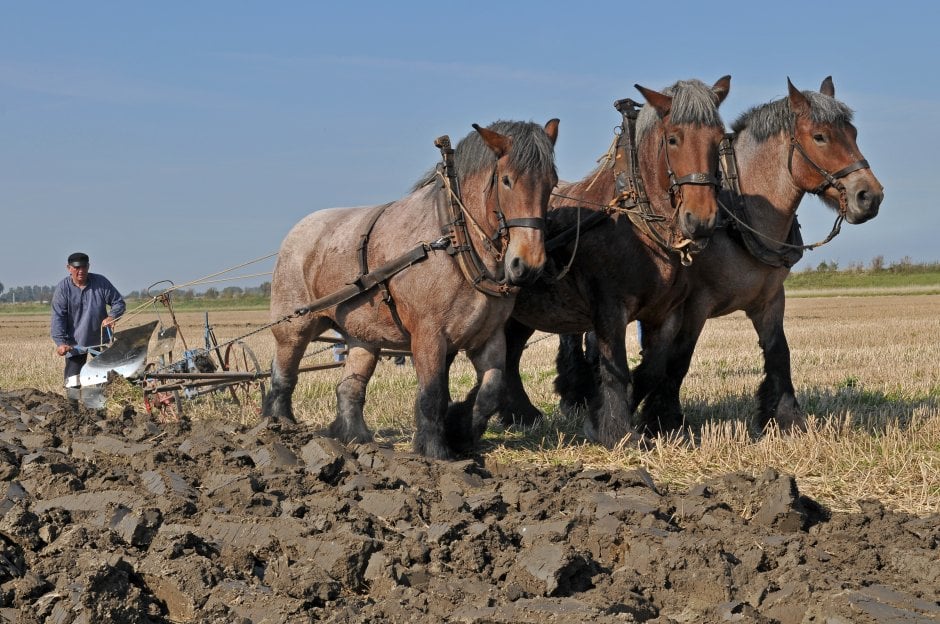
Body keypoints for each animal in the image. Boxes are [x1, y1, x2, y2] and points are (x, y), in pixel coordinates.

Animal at [262, 119, 560, 458]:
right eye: (507, 180)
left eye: (552, 182)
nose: (528, 265)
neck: (454, 242)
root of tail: (298, 230)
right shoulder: (428, 336)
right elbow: (432, 394)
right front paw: (435, 451)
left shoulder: (489, 337)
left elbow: (491, 392)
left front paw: (463, 434)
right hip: (295, 325)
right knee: (283, 374)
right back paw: (280, 428)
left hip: (363, 336)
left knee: (349, 387)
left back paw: (357, 438)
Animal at [482, 78, 732, 446]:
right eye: (673, 138)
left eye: (718, 137)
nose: (701, 220)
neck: (634, 220)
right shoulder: (610, 308)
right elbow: (615, 367)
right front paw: (615, 429)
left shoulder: (668, 311)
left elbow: (653, 368)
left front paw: (608, 414)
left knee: (511, 354)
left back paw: (521, 414)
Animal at [564, 77, 888, 434]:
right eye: (820, 136)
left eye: (853, 133)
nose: (869, 196)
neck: (738, 217)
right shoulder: (693, 305)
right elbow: (675, 361)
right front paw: (660, 418)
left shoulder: (769, 299)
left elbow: (779, 353)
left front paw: (788, 417)